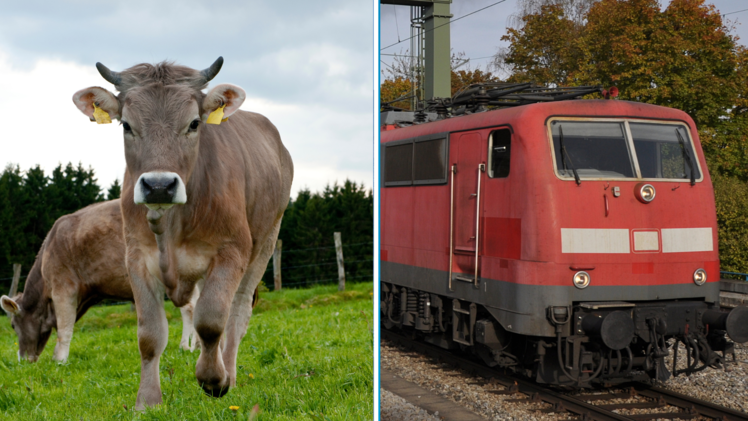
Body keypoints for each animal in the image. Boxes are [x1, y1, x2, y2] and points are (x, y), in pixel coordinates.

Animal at [0, 199, 201, 363]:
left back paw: (185, 346)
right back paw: (198, 346)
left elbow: (64, 327)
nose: (22, 359)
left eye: (13, 325)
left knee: (189, 308)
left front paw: (59, 360)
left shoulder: (62, 286)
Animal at [72, 57, 293, 409]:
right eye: (126, 125)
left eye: (194, 124)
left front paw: (214, 379)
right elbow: (149, 334)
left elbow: (211, 320)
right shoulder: (136, 257)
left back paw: (228, 371)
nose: (159, 185)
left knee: (237, 313)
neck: (169, 224)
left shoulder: (232, 250)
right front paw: (147, 400)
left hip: (266, 241)